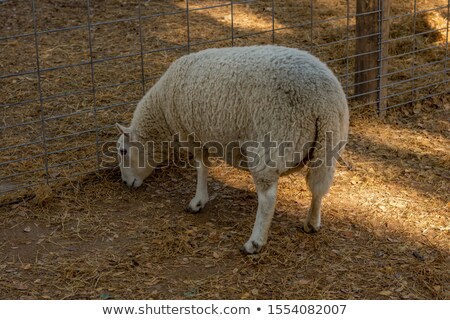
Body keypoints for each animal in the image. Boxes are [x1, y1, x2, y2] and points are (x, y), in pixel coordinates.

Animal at [115, 45, 348, 255]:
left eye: (123, 151)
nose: (126, 183)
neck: (162, 109)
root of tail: (322, 101)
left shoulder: (191, 134)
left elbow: (201, 167)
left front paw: (197, 201)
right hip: (329, 144)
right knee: (318, 186)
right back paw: (312, 223)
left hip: (272, 142)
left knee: (268, 197)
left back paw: (254, 243)